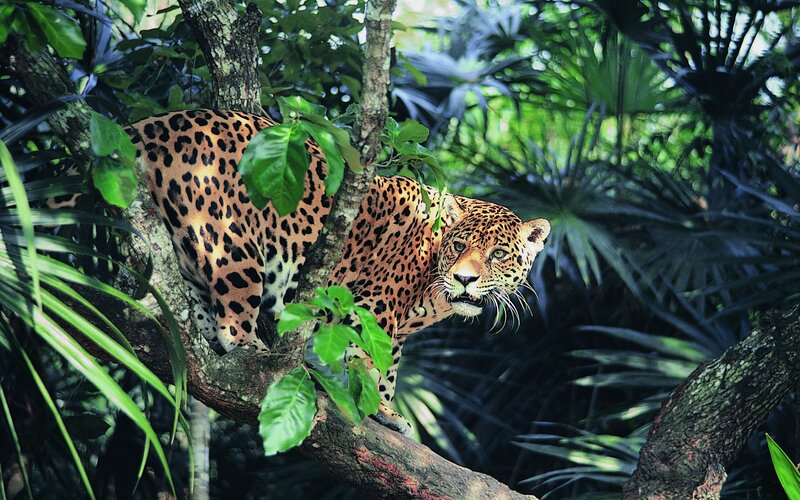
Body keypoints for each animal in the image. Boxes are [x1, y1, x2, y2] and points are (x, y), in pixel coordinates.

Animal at [128, 109, 550, 436]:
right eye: (460, 246)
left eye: (498, 254)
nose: (465, 279)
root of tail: (152, 123)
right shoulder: (376, 304)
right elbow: (369, 359)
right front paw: (379, 410)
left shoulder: (397, 332)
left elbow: (389, 371)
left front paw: (388, 410)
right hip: (231, 246)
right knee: (233, 330)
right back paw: (262, 359)